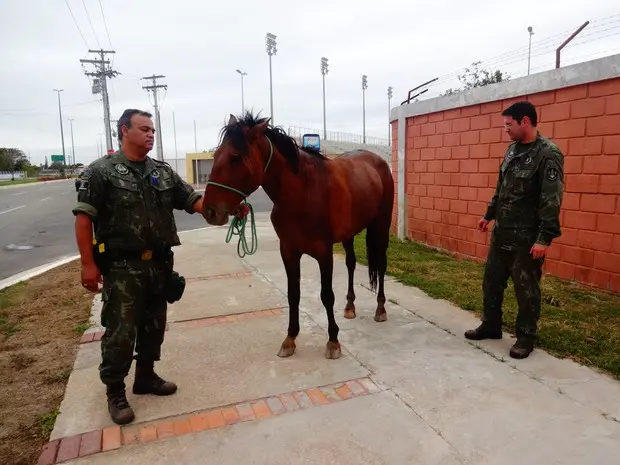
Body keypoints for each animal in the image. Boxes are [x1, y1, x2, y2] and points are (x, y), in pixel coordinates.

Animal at [205, 112, 398, 358]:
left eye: (235, 157)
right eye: (216, 155)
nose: (210, 211)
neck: (303, 192)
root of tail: (378, 161)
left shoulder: (324, 253)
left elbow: (327, 295)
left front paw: (333, 341)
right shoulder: (288, 251)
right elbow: (293, 294)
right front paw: (290, 338)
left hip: (381, 225)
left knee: (381, 264)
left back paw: (380, 309)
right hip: (349, 234)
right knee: (351, 263)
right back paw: (350, 306)